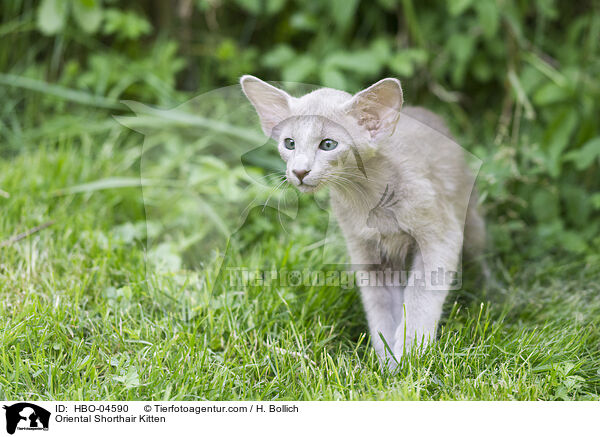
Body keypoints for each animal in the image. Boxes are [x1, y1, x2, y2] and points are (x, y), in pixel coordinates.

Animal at [240, 76, 488, 368]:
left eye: (328, 145)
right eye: (289, 143)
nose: (299, 171)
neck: (368, 199)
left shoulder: (440, 235)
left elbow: (420, 297)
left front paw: (410, 356)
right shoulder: (368, 254)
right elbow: (380, 308)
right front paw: (387, 363)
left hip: (471, 224)